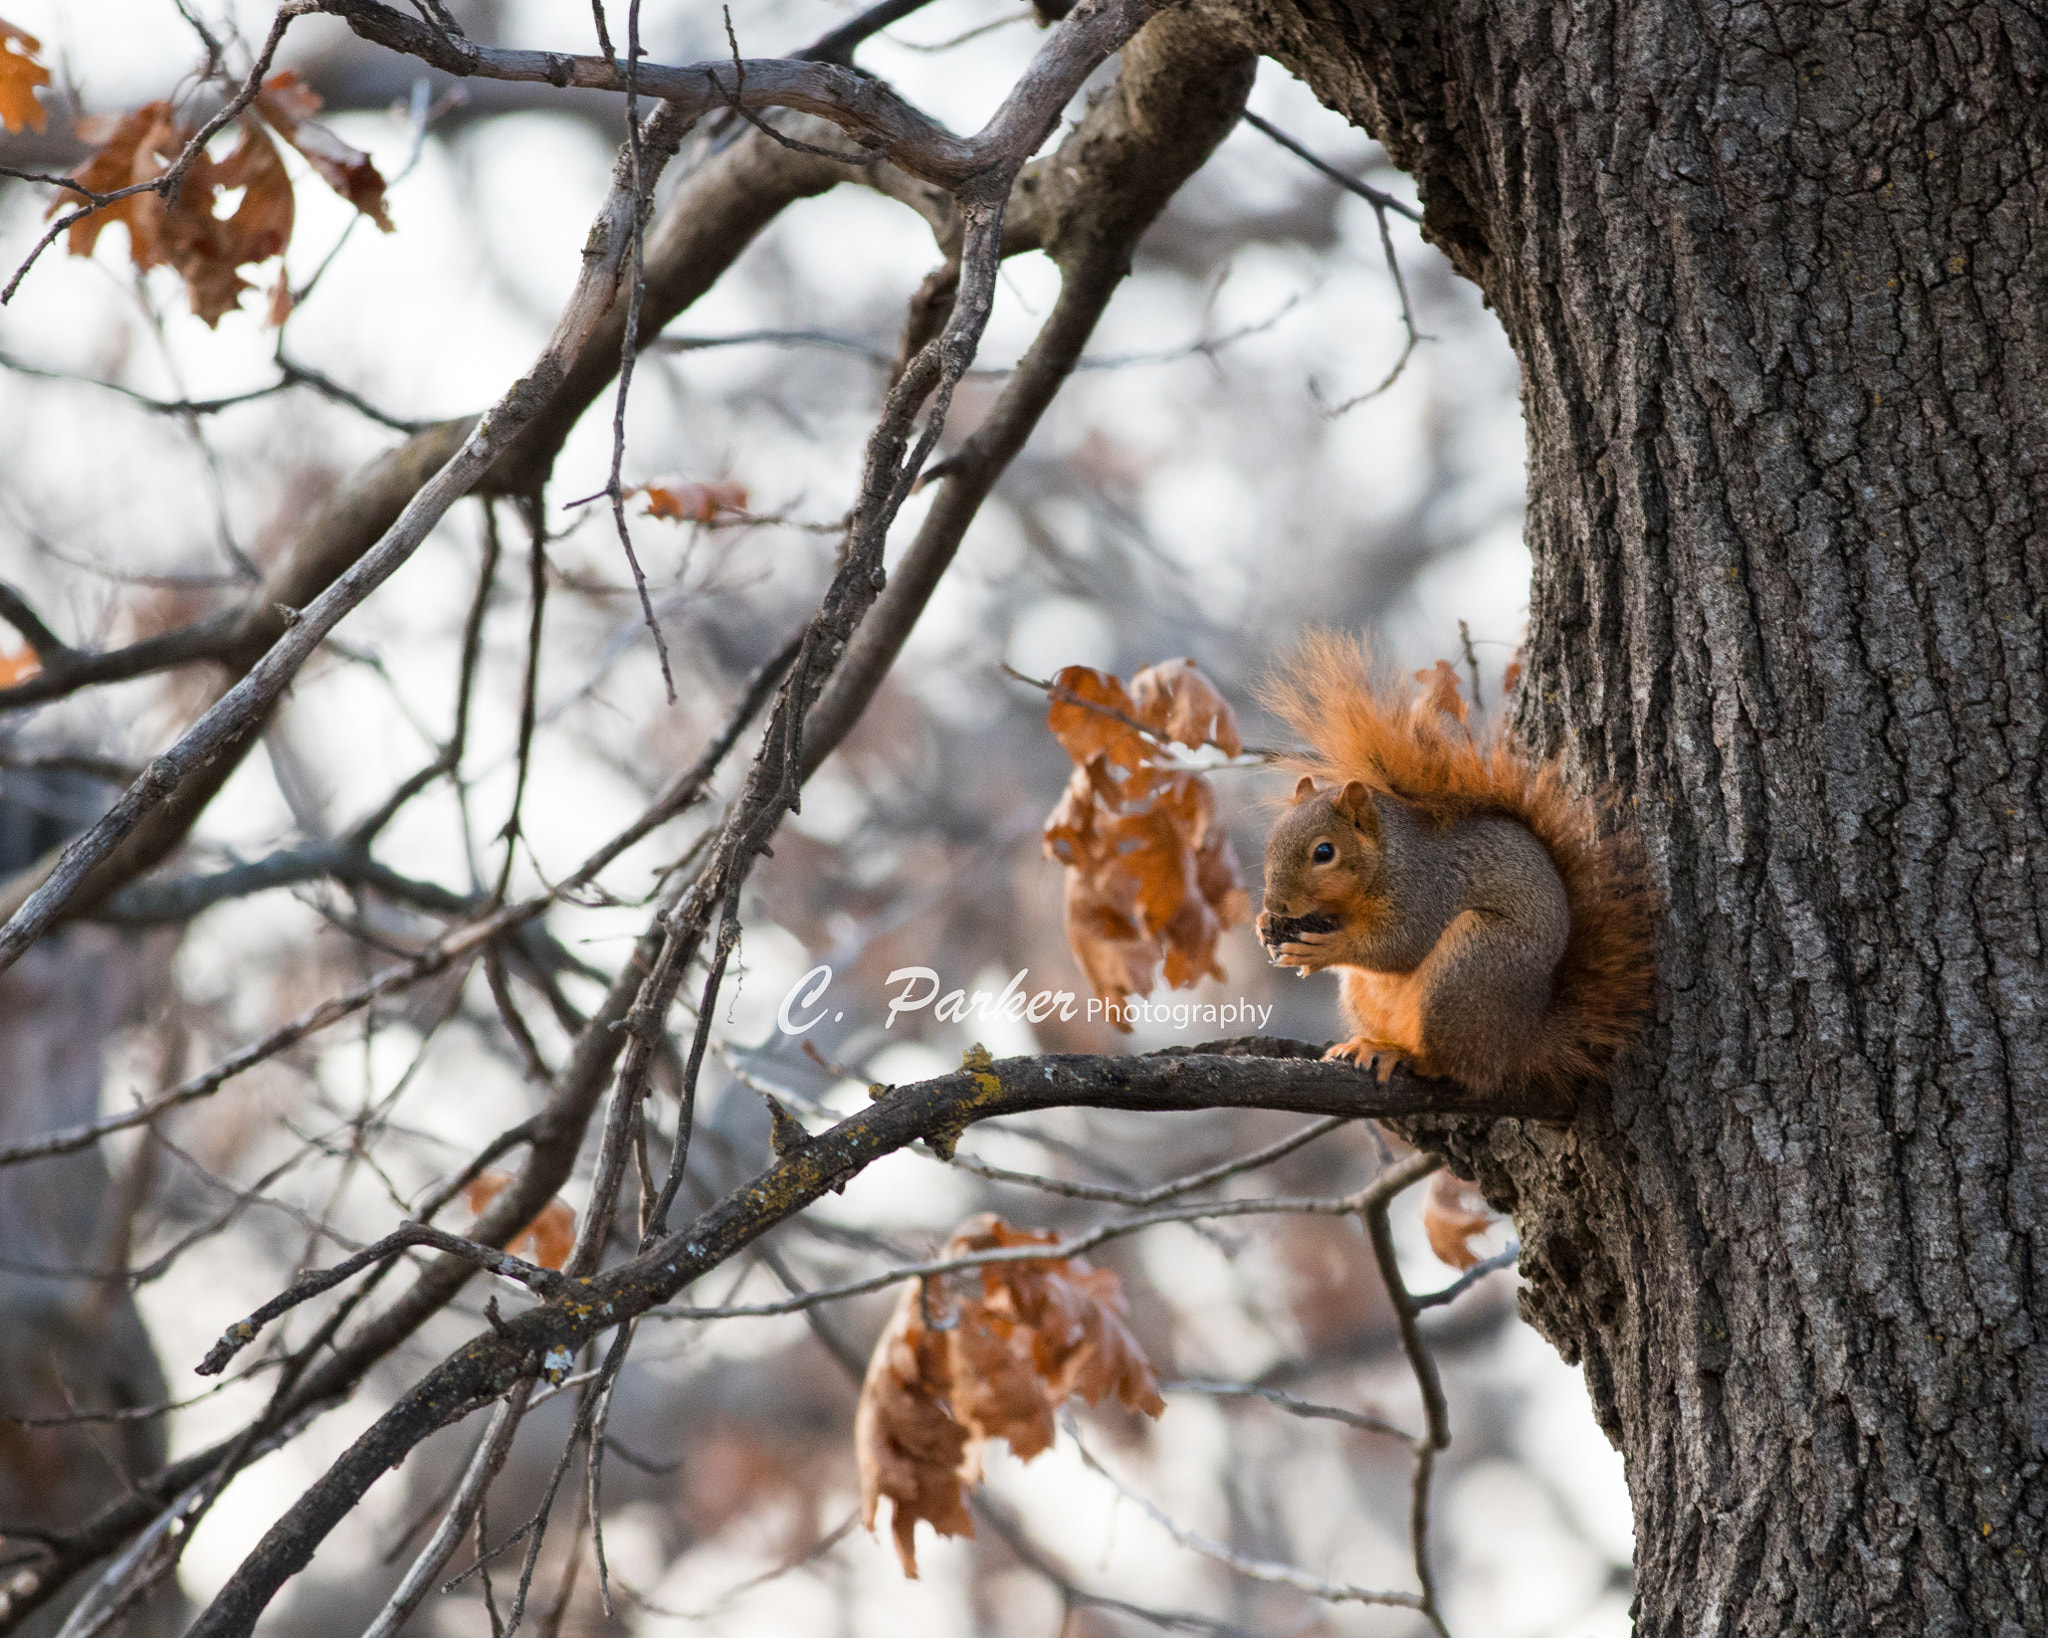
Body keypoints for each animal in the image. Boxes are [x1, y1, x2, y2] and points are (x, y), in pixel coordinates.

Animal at [1254, 633, 1657, 1098]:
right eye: (1272, 840)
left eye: (1324, 852)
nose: (1277, 904)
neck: (1385, 859)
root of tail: (1520, 1044)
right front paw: (1263, 925)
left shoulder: (1426, 887)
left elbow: (1402, 944)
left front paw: (1326, 948)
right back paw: (1372, 1043)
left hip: (1471, 964)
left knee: (1451, 1065)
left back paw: (1403, 1055)